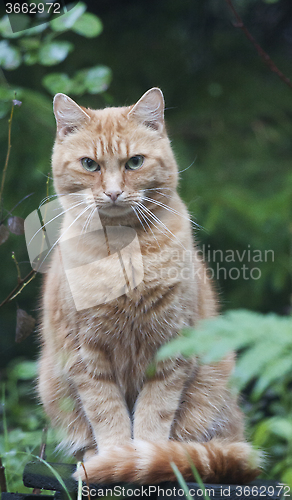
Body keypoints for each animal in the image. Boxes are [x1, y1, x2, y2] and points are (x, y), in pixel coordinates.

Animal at [38, 88, 260, 482]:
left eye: (135, 162)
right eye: (90, 165)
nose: (113, 192)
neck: (124, 253)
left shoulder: (171, 350)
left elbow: (153, 416)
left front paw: (142, 457)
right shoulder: (86, 357)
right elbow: (107, 415)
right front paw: (112, 459)